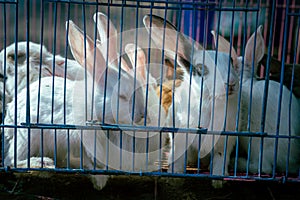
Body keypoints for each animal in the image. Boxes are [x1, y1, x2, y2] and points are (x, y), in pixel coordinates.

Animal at [143, 14, 239, 188]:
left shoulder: (224, 142)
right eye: (201, 69)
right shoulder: (180, 137)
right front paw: (175, 179)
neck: (210, 102)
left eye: (231, 62)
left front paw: (218, 182)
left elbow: (220, 160)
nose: (231, 83)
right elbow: (179, 159)